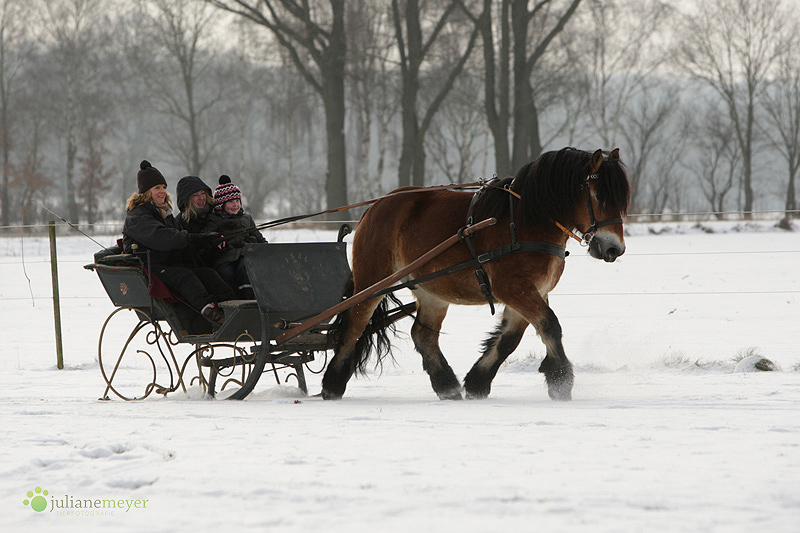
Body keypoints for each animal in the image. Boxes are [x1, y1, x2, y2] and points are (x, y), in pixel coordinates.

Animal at [322, 145, 628, 400]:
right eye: (598, 196)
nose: (614, 248)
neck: (526, 221)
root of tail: (376, 206)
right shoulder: (514, 288)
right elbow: (550, 325)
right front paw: (561, 381)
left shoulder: (532, 291)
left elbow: (510, 338)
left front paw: (477, 383)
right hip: (372, 281)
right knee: (354, 326)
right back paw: (332, 385)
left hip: (433, 291)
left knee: (423, 336)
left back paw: (447, 386)